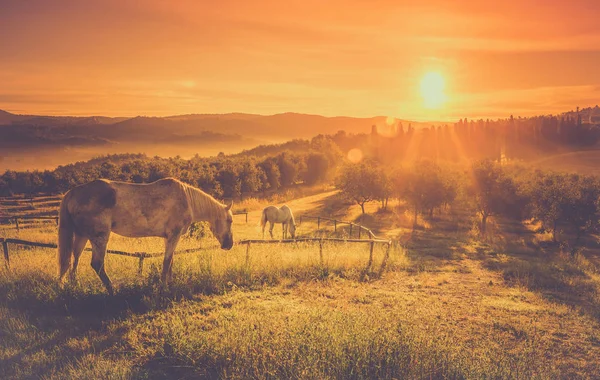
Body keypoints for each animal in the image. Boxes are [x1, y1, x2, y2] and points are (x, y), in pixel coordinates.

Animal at [57, 177, 232, 296]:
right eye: (229, 220)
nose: (229, 244)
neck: (187, 199)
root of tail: (72, 193)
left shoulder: (168, 237)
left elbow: (170, 261)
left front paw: (170, 284)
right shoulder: (173, 235)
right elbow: (167, 262)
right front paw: (163, 288)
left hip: (81, 235)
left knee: (74, 260)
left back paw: (75, 287)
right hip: (99, 237)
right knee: (97, 264)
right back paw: (112, 291)